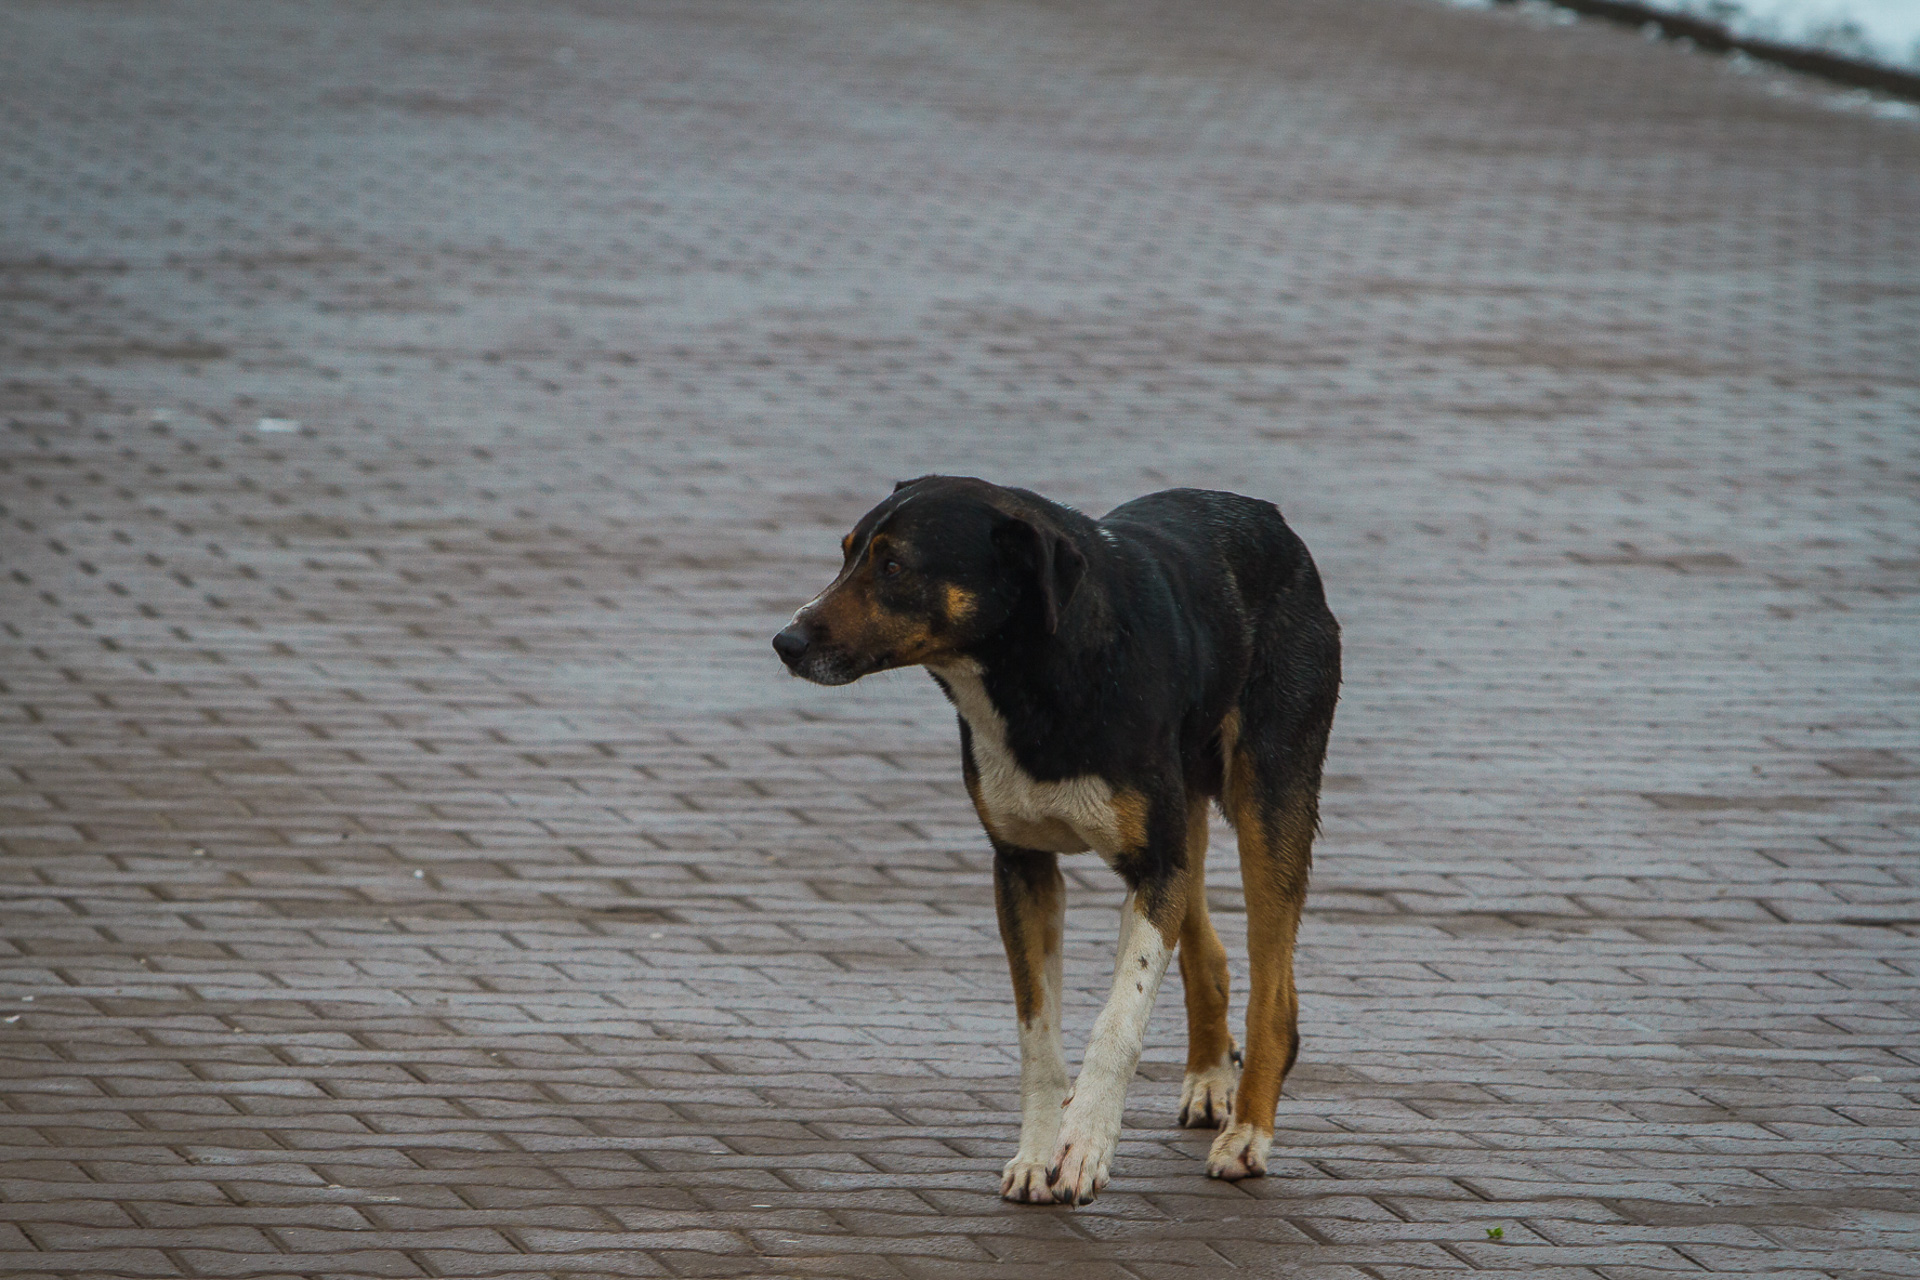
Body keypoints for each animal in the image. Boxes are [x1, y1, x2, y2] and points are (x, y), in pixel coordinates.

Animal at [771, 475, 1344, 1205]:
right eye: (846, 552)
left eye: (894, 565)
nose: (786, 640)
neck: (1036, 673)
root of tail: (1270, 517)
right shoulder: (1023, 868)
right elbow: (1037, 1033)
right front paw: (1038, 1153)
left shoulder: (1154, 869)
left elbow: (1119, 1020)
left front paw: (1084, 1145)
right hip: (1184, 815)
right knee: (1209, 955)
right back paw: (1212, 1077)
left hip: (1269, 801)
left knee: (1274, 994)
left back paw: (1247, 1134)